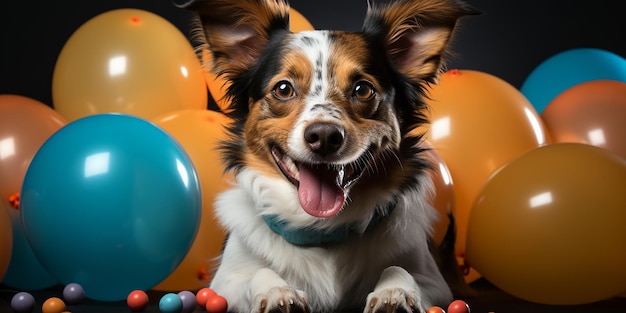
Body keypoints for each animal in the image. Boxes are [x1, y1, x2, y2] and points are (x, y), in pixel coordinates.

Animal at [173, 0, 476, 310]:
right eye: (283, 88)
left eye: (363, 89)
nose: (324, 137)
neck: (320, 230)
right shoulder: (224, 283)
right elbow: (259, 272)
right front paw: (278, 292)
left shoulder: (436, 282)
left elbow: (400, 269)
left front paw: (395, 292)